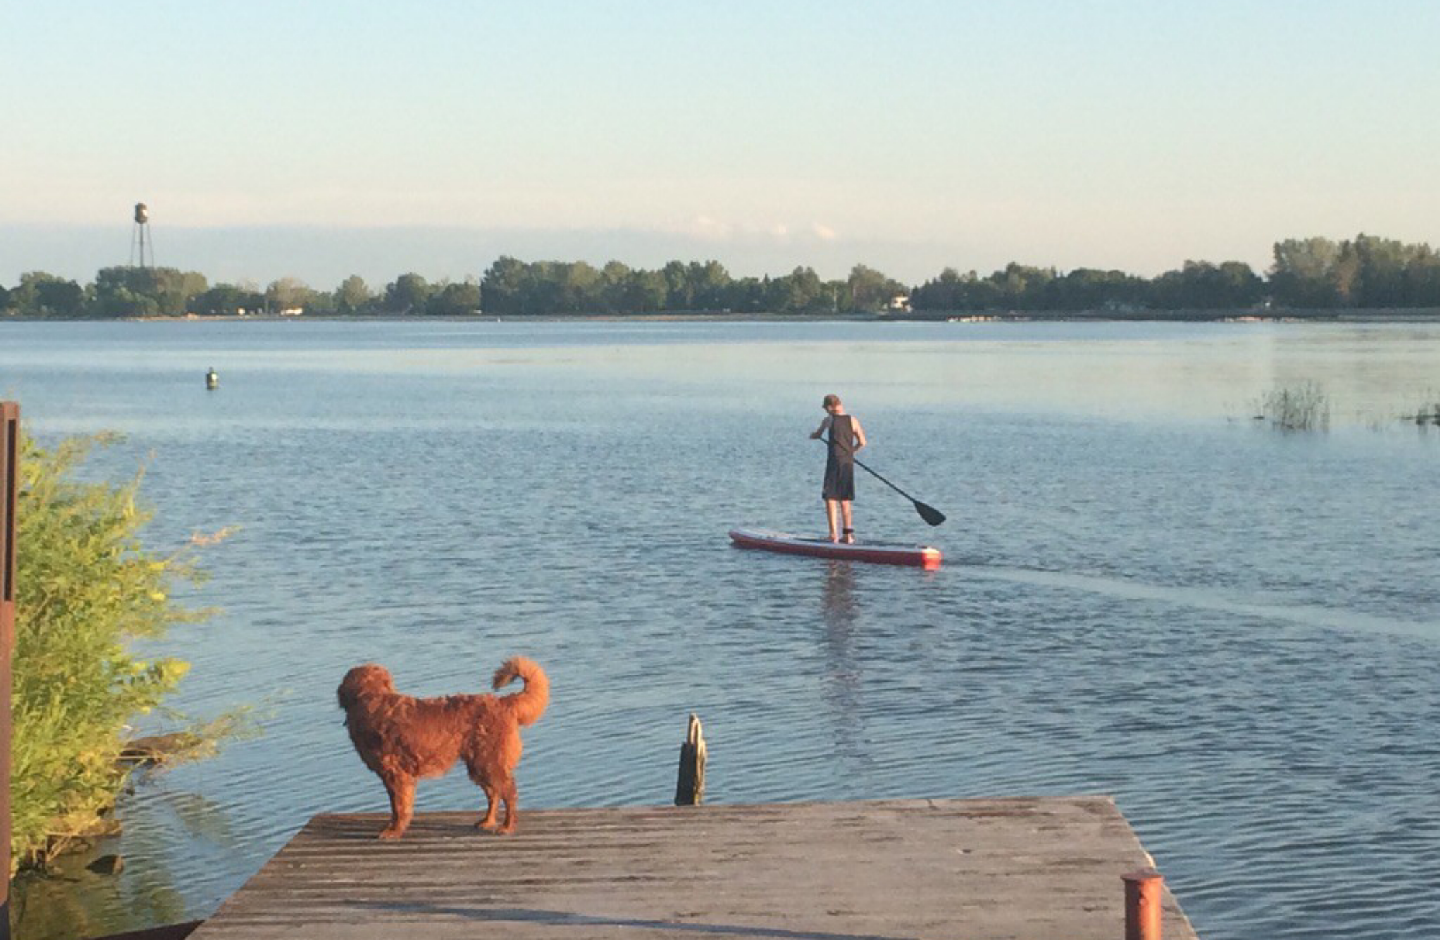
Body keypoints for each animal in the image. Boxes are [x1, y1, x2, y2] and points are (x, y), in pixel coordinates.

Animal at [334, 656, 547, 840]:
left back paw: (507, 826)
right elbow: (398, 807)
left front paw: (394, 830)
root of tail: (504, 702)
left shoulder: (397, 776)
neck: (373, 701)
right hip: (478, 765)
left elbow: (399, 807)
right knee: (493, 794)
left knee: (509, 793)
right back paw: (487, 821)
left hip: (489, 762)